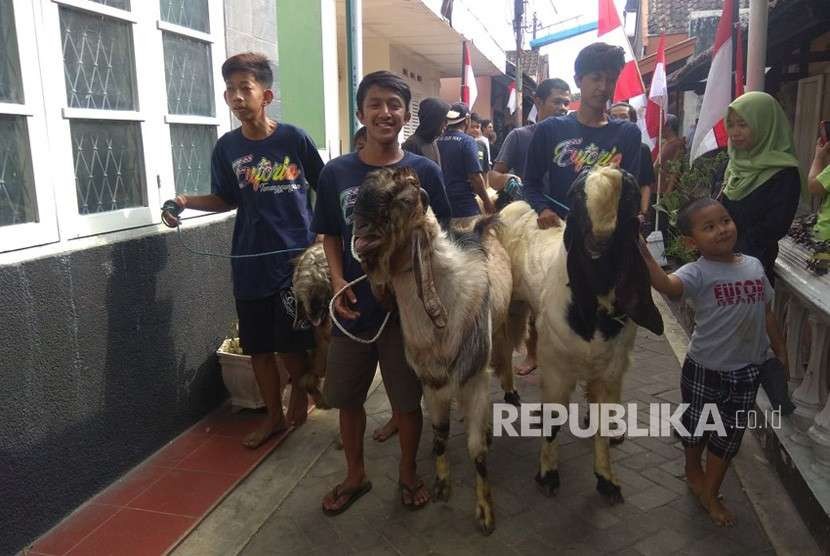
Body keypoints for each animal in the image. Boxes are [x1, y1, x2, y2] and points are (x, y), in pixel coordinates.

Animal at [352, 168, 528, 536]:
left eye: (402, 199)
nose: (360, 240)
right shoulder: (431, 383)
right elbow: (439, 435)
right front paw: (441, 486)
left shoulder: (474, 377)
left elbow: (476, 450)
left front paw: (485, 513)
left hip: (500, 325)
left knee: (504, 353)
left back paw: (508, 393)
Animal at [498, 166, 668, 504]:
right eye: (577, 196)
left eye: (629, 197)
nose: (597, 242)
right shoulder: (557, 368)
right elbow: (554, 419)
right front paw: (548, 474)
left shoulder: (609, 369)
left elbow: (602, 418)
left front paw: (606, 478)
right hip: (511, 305)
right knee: (508, 344)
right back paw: (510, 391)